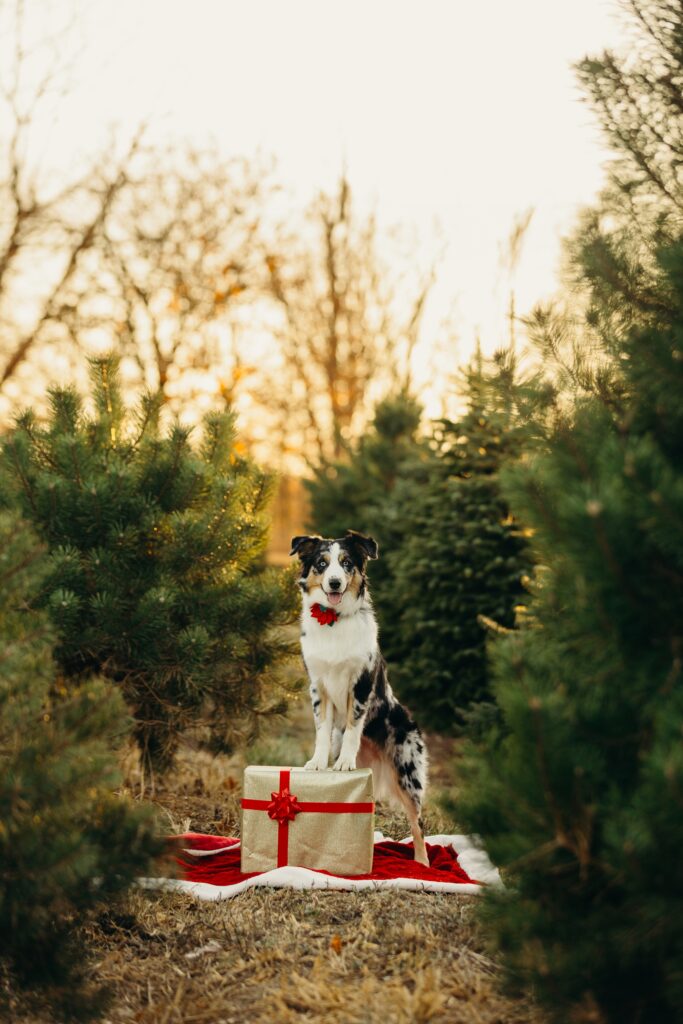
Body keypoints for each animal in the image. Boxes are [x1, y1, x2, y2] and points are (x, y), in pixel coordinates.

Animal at [290, 528, 430, 864]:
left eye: (347, 563)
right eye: (322, 564)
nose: (334, 582)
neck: (333, 621)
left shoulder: (361, 684)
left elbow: (354, 727)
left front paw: (343, 763)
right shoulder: (318, 685)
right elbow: (321, 730)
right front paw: (318, 763)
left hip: (408, 771)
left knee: (418, 824)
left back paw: (423, 864)